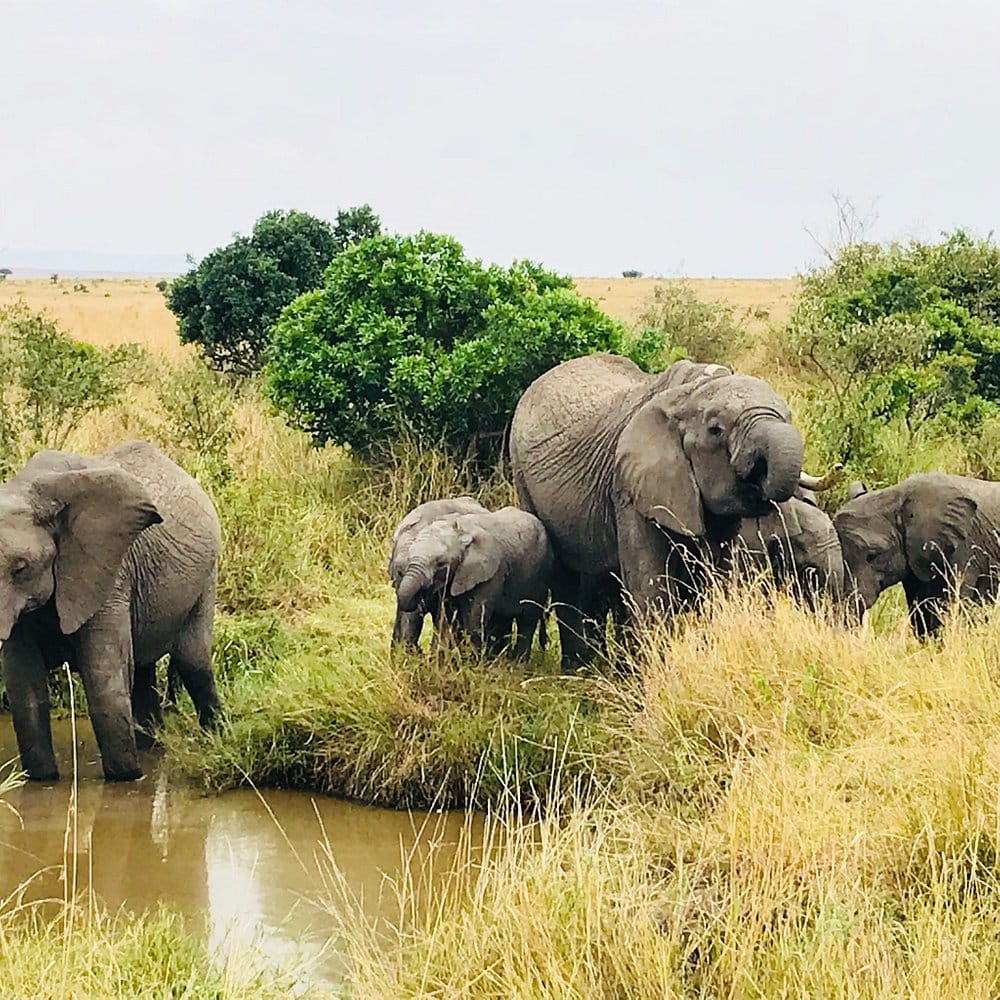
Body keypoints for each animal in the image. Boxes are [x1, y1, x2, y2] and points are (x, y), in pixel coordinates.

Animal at [0, 440, 221, 782]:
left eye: (20, 568)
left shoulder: (108, 571)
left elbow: (106, 681)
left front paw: (127, 778)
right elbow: (24, 690)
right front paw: (42, 780)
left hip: (205, 579)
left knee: (192, 661)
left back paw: (217, 737)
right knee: (143, 672)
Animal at [393, 507, 553, 658]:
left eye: (441, 563)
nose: (419, 651)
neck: (460, 532)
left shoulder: (491, 575)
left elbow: (474, 621)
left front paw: (471, 662)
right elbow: (446, 620)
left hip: (540, 576)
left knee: (527, 620)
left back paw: (517, 662)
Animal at [509, 353, 823, 668]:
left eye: (788, 417)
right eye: (715, 430)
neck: (689, 393)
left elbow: (718, 582)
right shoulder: (630, 486)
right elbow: (650, 589)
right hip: (522, 474)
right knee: (567, 578)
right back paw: (578, 669)